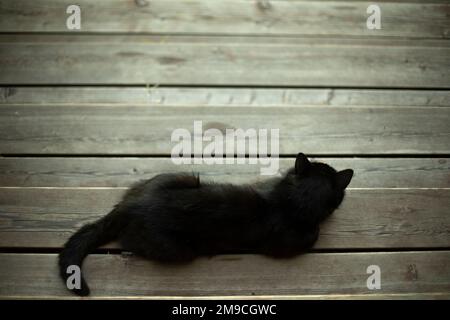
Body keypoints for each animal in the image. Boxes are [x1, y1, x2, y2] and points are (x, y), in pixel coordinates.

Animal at [59, 154, 354, 296]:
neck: (292, 199)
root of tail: (129, 206)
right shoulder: (288, 242)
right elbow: (312, 234)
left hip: (183, 176)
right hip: (178, 248)